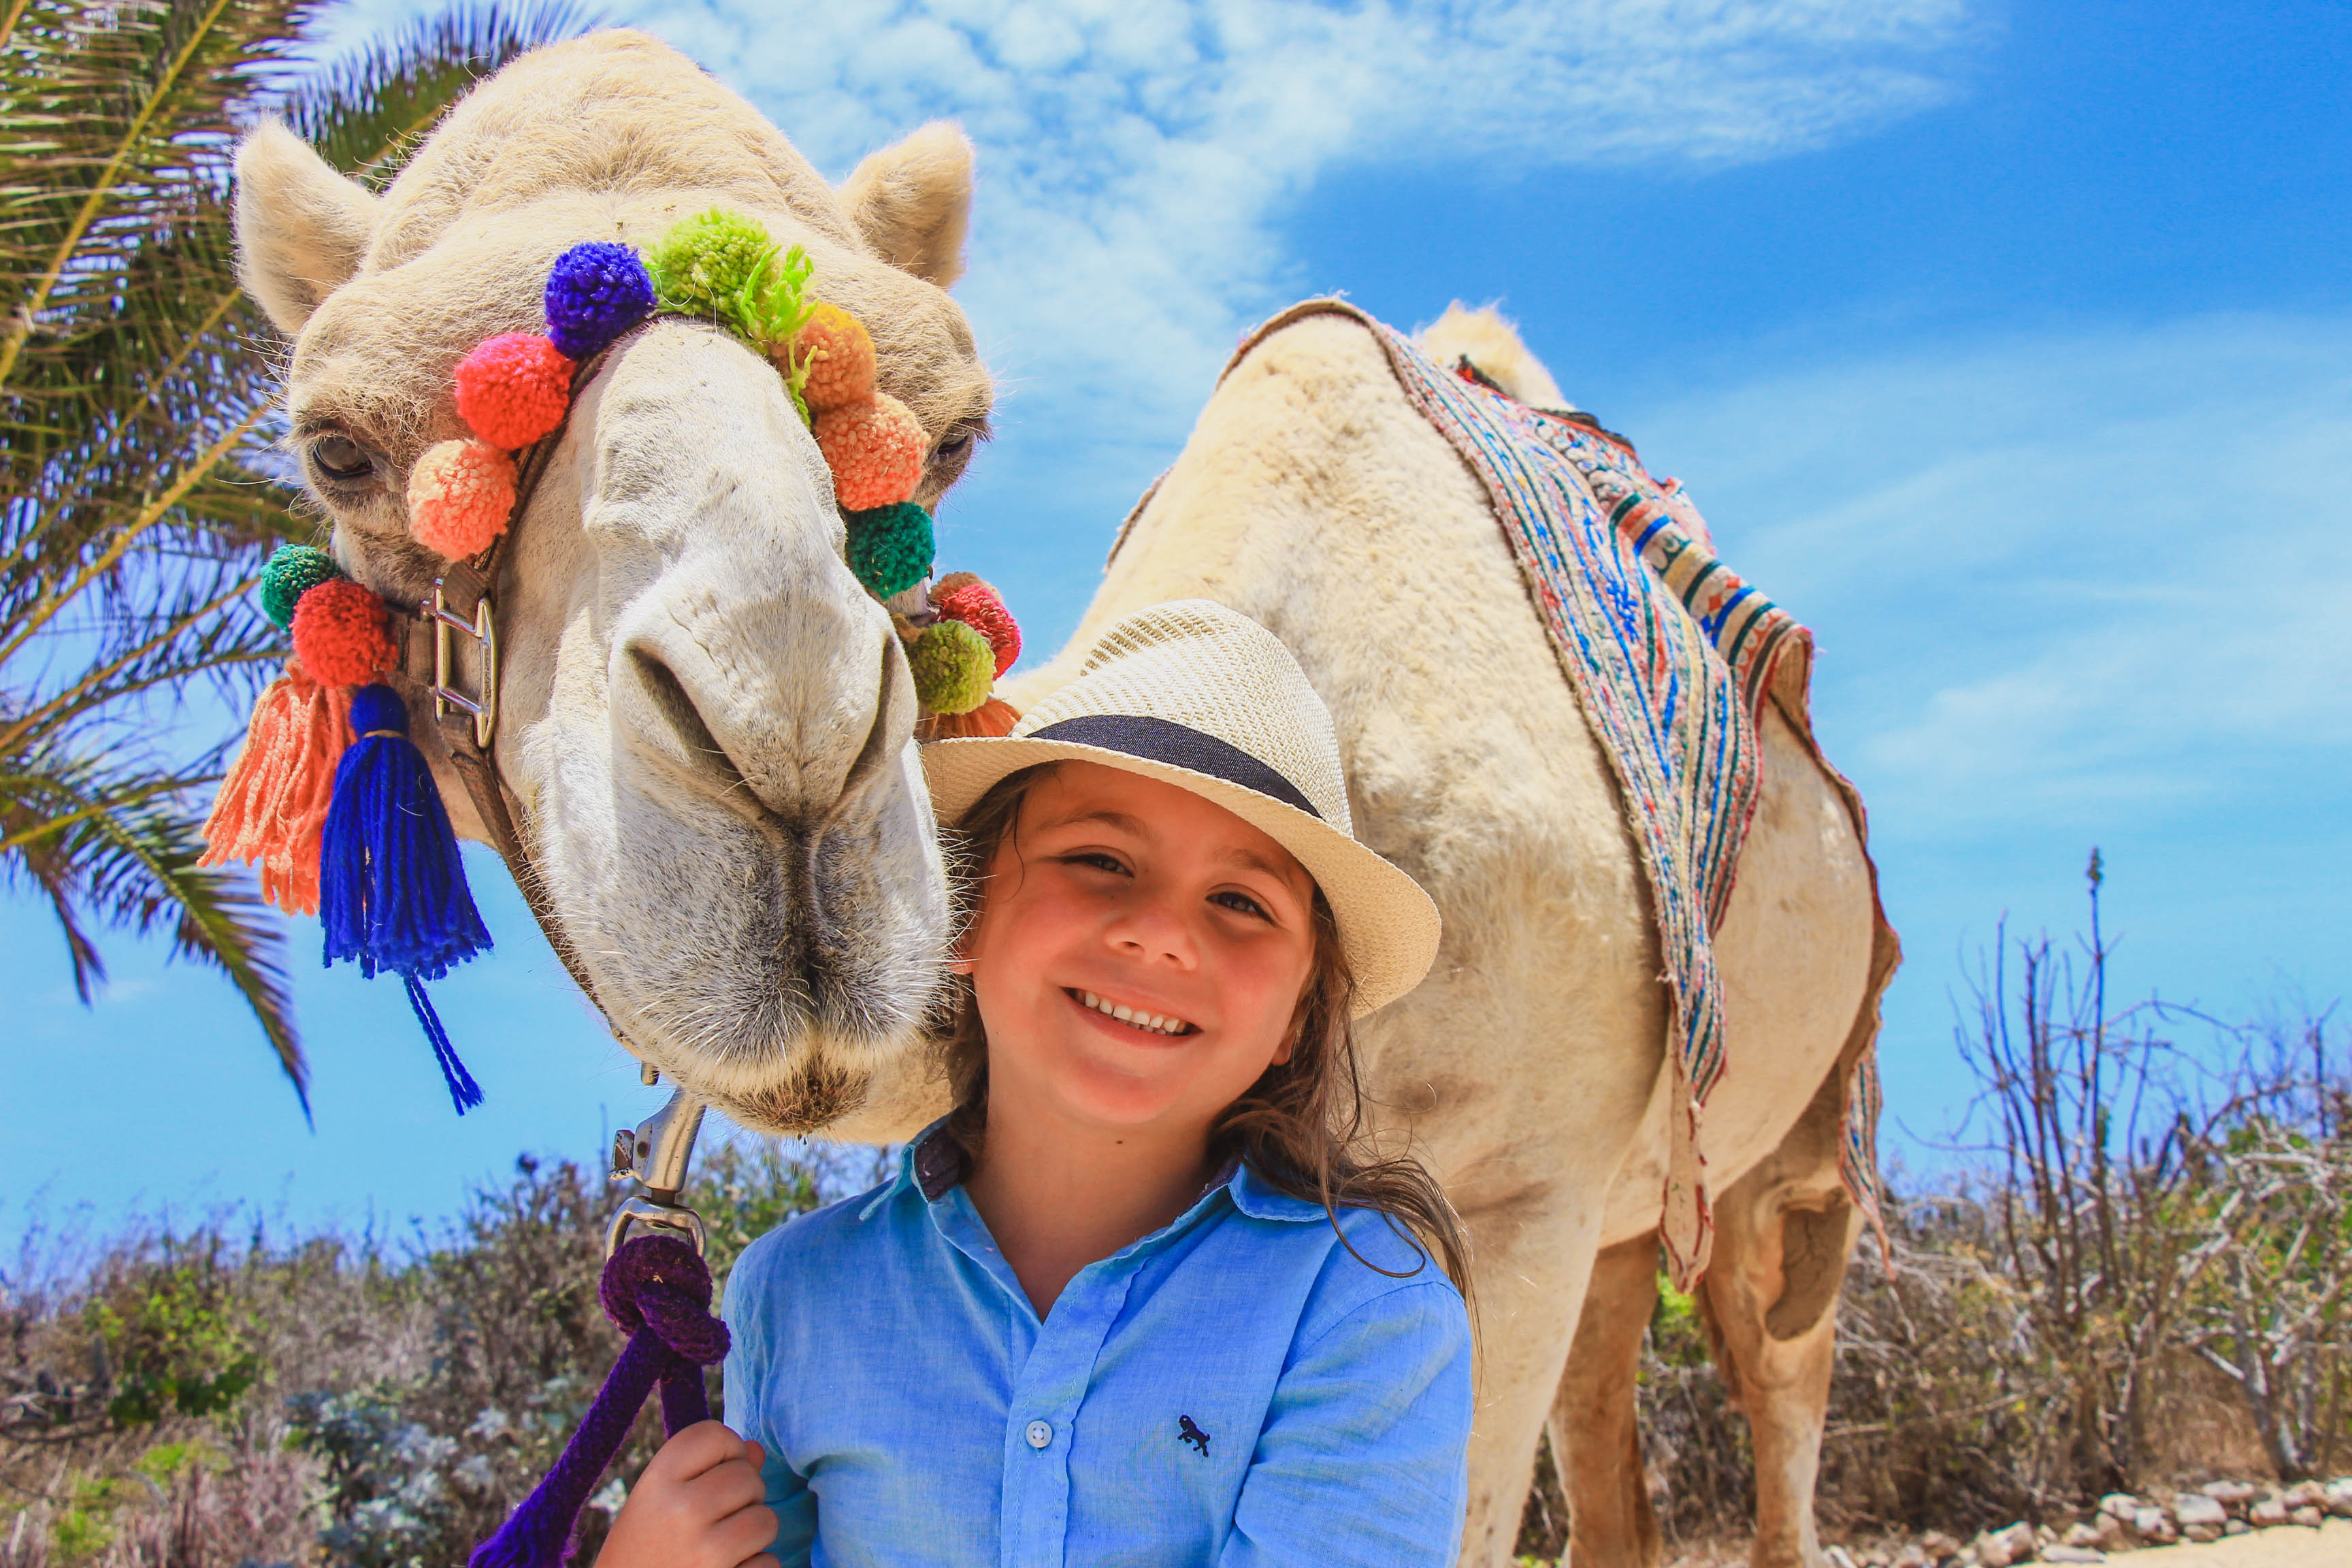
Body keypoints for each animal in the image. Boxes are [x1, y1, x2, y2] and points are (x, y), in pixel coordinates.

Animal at [234, 30, 1892, 1568]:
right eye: (339, 448)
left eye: (953, 431)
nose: (787, 751)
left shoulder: (1520, 1202)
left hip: (1778, 1141)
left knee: (1780, 1359)